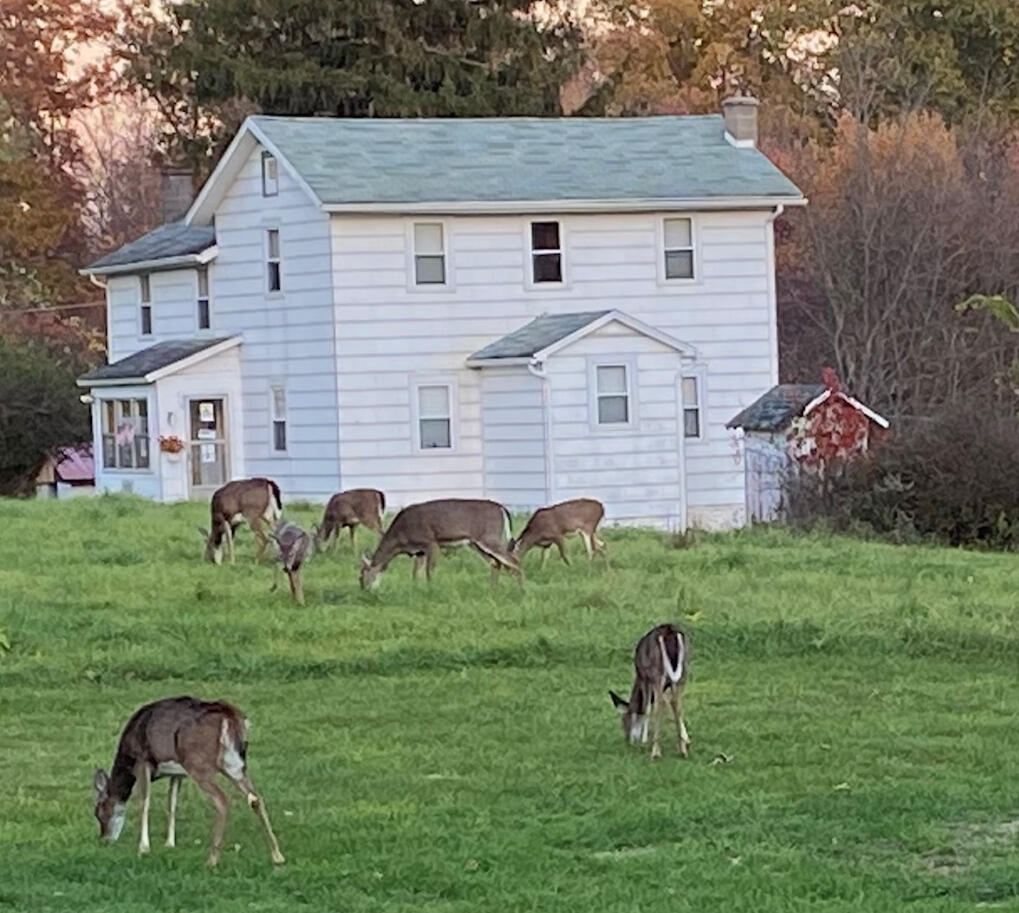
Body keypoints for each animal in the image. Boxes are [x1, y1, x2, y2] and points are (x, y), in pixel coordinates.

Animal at [92, 696, 285, 867]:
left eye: (99, 812)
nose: (104, 839)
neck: (127, 759)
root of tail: (230, 715)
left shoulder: (142, 760)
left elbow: (144, 803)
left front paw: (144, 848)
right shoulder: (177, 773)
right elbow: (172, 804)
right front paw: (170, 844)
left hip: (198, 764)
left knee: (222, 800)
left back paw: (212, 860)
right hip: (235, 764)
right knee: (256, 798)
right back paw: (277, 856)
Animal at [359, 498, 520, 589]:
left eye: (361, 576)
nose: (364, 590)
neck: (401, 538)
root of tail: (502, 509)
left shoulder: (431, 542)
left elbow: (429, 571)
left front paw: (431, 590)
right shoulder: (419, 551)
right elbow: (415, 573)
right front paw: (415, 589)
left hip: (490, 538)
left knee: (514, 561)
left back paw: (520, 591)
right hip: (476, 543)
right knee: (496, 563)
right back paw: (492, 589)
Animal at [609, 623, 690, 760]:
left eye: (624, 720)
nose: (628, 740)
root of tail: (669, 631)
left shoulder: (645, 679)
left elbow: (647, 708)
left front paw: (644, 739)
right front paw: (686, 738)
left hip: (656, 672)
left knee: (660, 703)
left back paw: (656, 752)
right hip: (683, 671)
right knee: (676, 701)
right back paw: (682, 750)